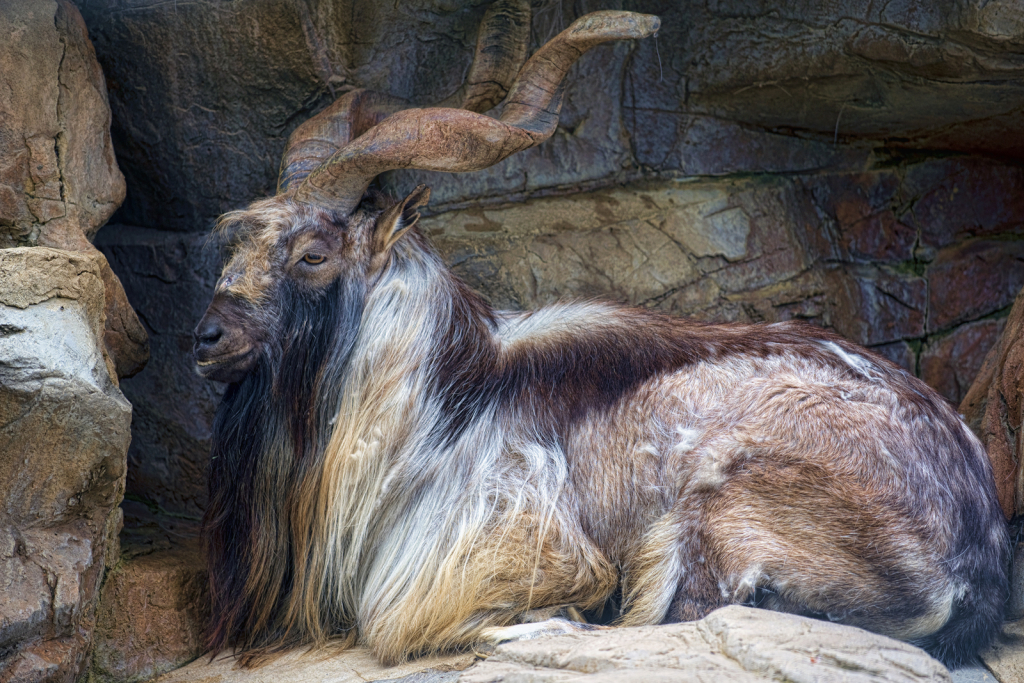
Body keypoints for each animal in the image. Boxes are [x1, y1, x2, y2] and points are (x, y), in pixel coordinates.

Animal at [192, 3, 1007, 667]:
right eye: (237, 240)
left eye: (313, 255)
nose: (207, 337)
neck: (446, 398)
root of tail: (977, 563)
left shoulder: (511, 549)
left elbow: (409, 623)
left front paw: (544, 618)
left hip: (721, 506)